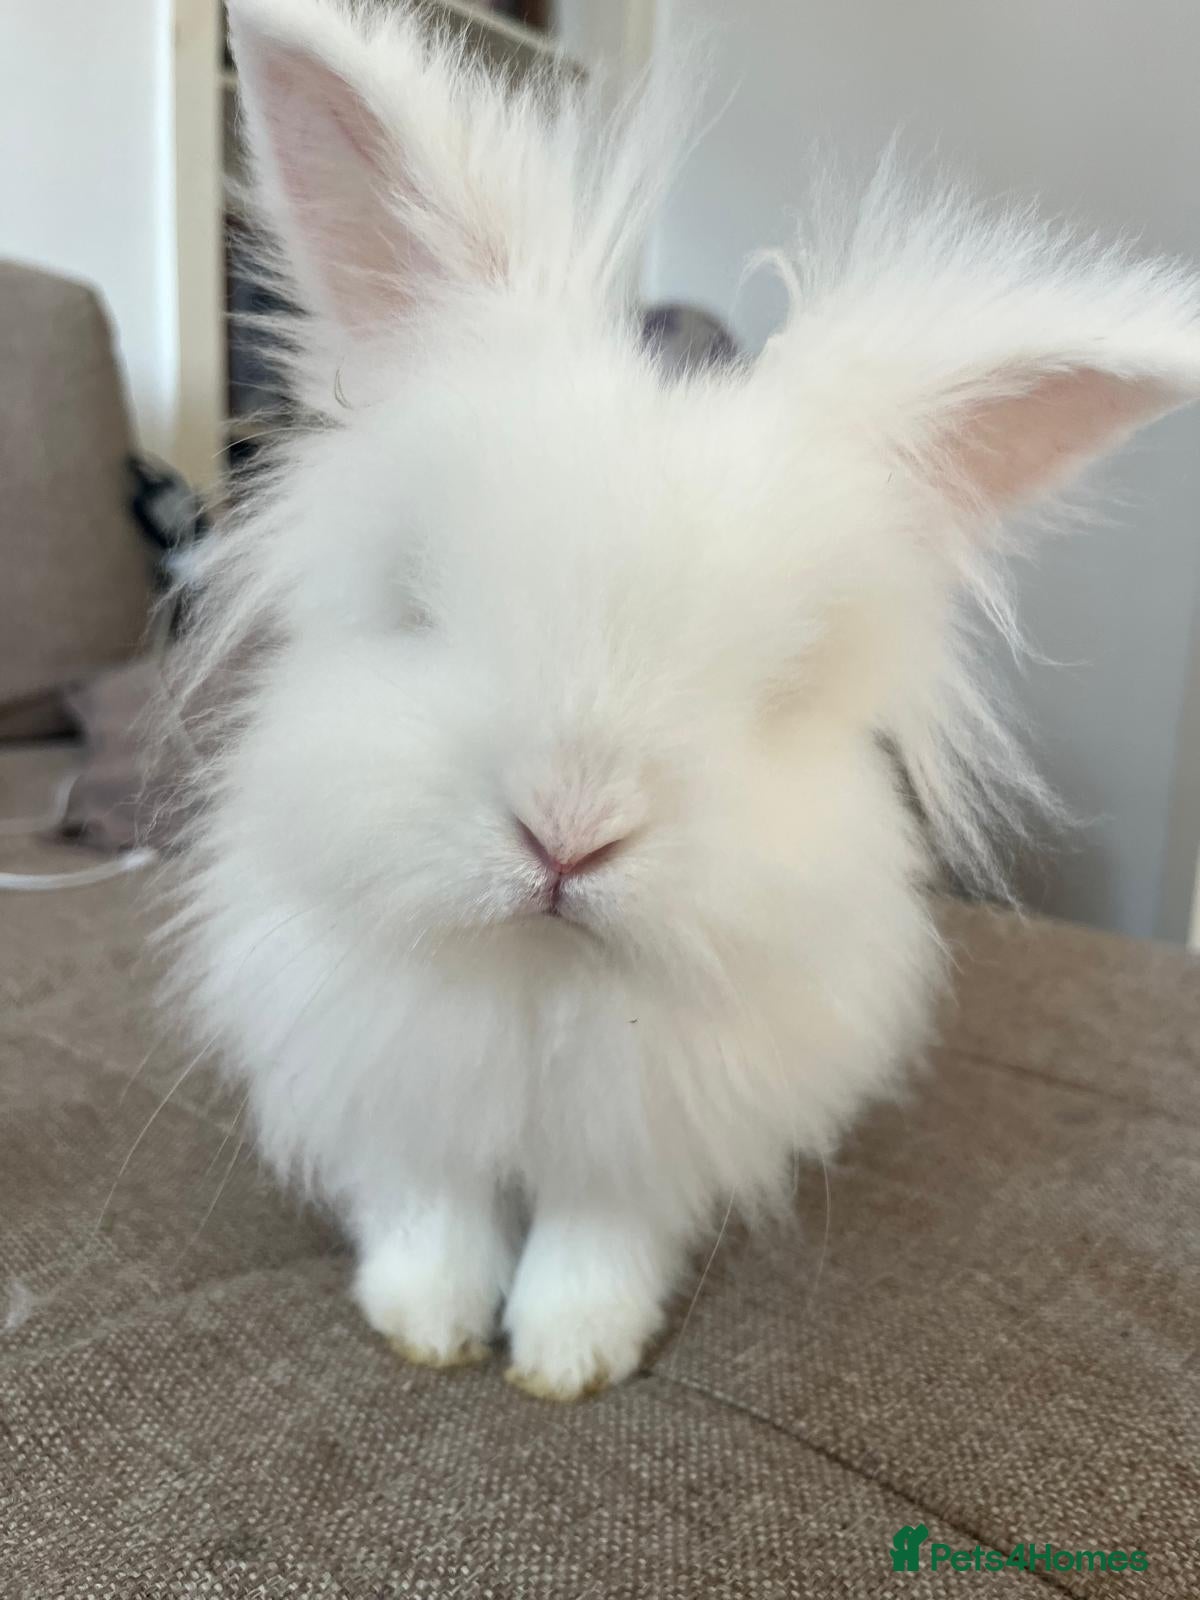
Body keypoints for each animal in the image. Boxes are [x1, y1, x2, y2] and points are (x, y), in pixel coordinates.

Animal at [175, 0, 1200, 1401]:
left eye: (784, 681)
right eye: (417, 595)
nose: (568, 832)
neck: (544, 979)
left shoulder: (651, 1138)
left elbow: (599, 1236)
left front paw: (570, 1355)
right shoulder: (392, 1086)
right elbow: (431, 1207)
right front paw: (428, 1325)